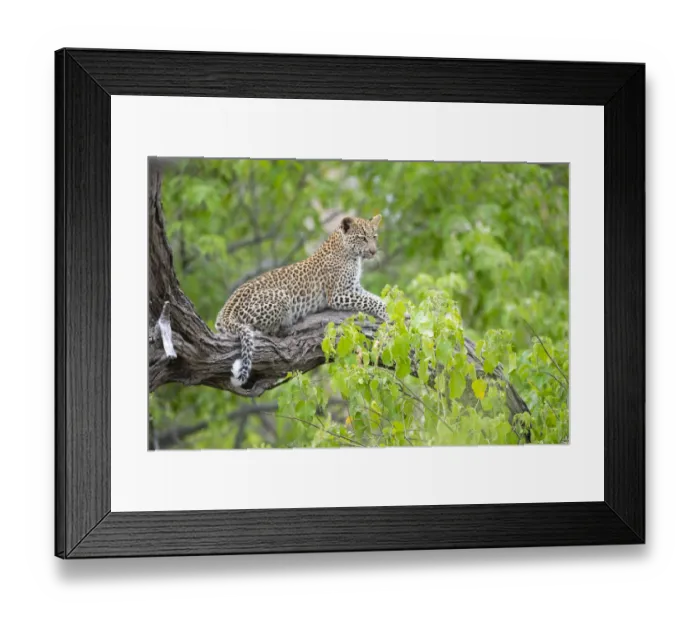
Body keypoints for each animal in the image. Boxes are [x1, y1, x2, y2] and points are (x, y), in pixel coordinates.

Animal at [216, 214, 388, 388]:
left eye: (374, 237)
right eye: (362, 238)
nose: (373, 251)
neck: (351, 255)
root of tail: (227, 309)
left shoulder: (354, 288)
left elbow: (373, 297)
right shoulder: (337, 294)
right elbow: (369, 301)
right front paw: (386, 313)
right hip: (282, 297)